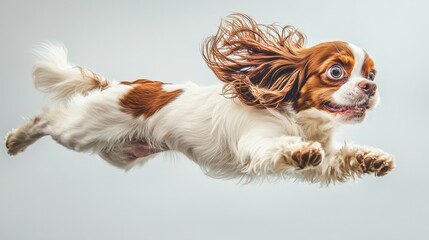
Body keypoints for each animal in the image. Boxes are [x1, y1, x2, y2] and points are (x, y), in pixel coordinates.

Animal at [4, 13, 392, 184]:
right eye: (336, 72)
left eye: (371, 75)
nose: (370, 88)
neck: (298, 119)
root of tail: (115, 85)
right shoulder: (256, 141)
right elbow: (281, 147)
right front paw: (299, 150)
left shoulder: (325, 163)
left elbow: (337, 159)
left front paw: (372, 158)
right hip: (83, 131)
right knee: (47, 118)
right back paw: (16, 140)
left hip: (120, 153)